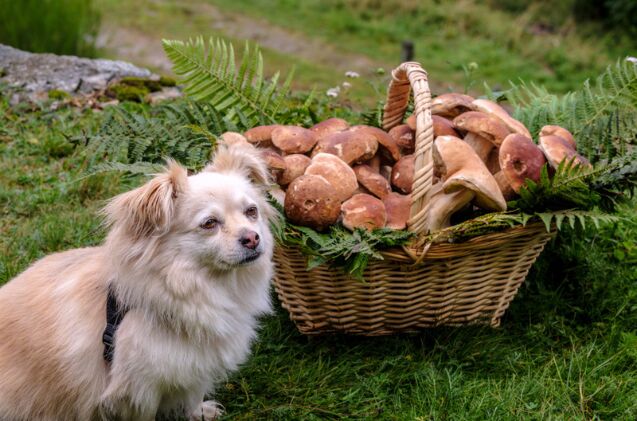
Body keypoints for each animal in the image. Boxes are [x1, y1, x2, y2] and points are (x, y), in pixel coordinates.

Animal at [1, 144, 278, 420]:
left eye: (252, 212)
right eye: (209, 223)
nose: (252, 238)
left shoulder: (194, 366)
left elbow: (193, 393)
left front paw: (198, 412)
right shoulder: (137, 391)